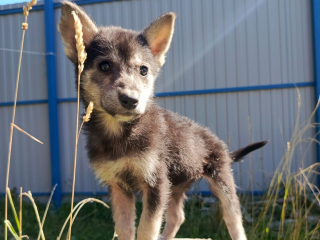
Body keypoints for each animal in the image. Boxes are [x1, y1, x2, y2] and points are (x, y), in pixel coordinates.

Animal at [58, 1, 268, 238]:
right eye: (104, 66)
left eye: (143, 70)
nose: (131, 100)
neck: (121, 132)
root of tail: (221, 145)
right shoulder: (119, 186)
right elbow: (125, 228)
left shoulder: (155, 182)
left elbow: (146, 229)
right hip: (176, 185)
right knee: (177, 216)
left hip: (220, 179)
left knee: (233, 219)